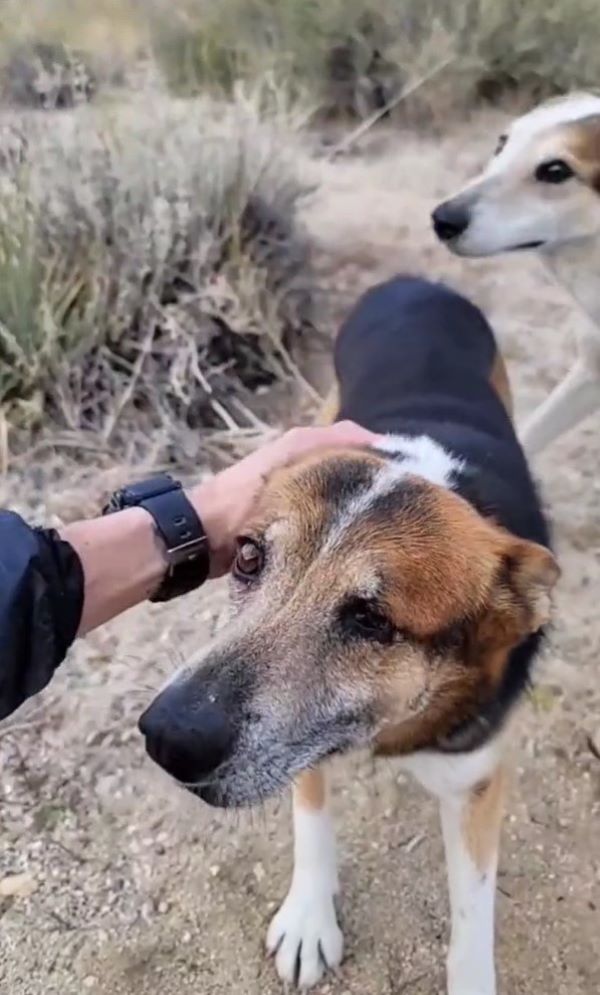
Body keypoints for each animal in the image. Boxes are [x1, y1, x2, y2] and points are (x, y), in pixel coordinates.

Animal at [139, 276, 556, 995]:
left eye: (372, 619)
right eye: (248, 556)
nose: (167, 738)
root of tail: (416, 281)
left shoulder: (476, 778)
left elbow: (472, 913)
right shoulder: (305, 744)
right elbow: (311, 816)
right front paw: (309, 919)